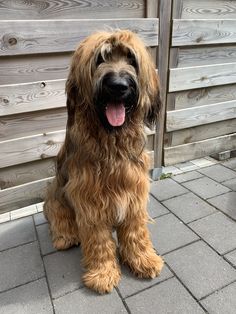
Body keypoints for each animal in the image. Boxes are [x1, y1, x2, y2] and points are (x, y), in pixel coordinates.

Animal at [43, 30, 163, 294]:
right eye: (100, 59)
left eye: (131, 59)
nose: (118, 86)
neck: (111, 141)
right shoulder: (89, 200)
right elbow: (98, 240)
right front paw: (102, 273)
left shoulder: (133, 193)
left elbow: (136, 231)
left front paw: (144, 259)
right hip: (54, 197)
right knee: (59, 219)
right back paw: (65, 236)